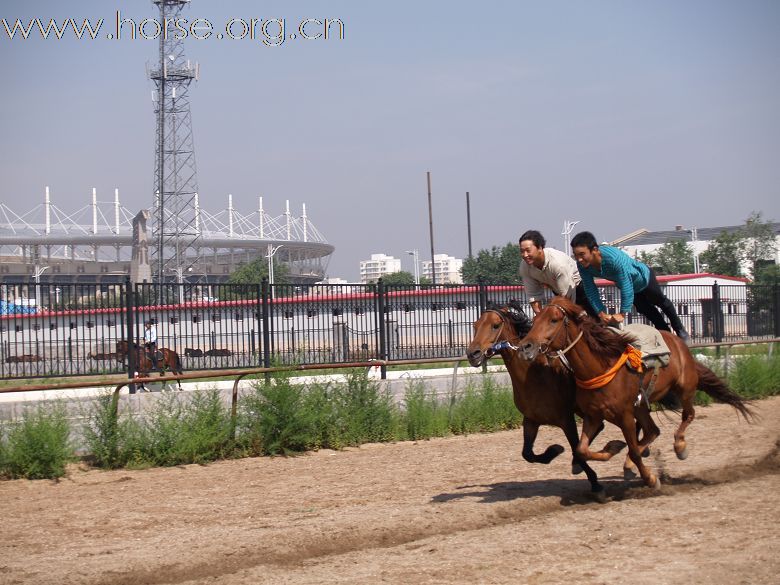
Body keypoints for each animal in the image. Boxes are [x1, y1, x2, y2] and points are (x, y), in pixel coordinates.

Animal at [466, 298, 624, 500]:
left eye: (495, 325)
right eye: (475, 325)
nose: (473, 354)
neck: (534, 375)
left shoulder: (566, 419)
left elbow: (576, 447)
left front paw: (596, 484)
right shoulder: (531, 420)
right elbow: (527, 454)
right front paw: (554, 451)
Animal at [516, 296, 756, 488]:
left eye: (554, 320)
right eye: (535, 320)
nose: (526, 347)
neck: (600, 367)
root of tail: (679, 342)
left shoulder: (624, 416)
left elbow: (631, 446)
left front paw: (650, 478)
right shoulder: (594, 416)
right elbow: (583, 449)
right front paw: (613, 447)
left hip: (684, 389)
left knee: (688, 415)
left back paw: (679, 447)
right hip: (641, 406)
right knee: (652, 431)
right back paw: (631, 463)